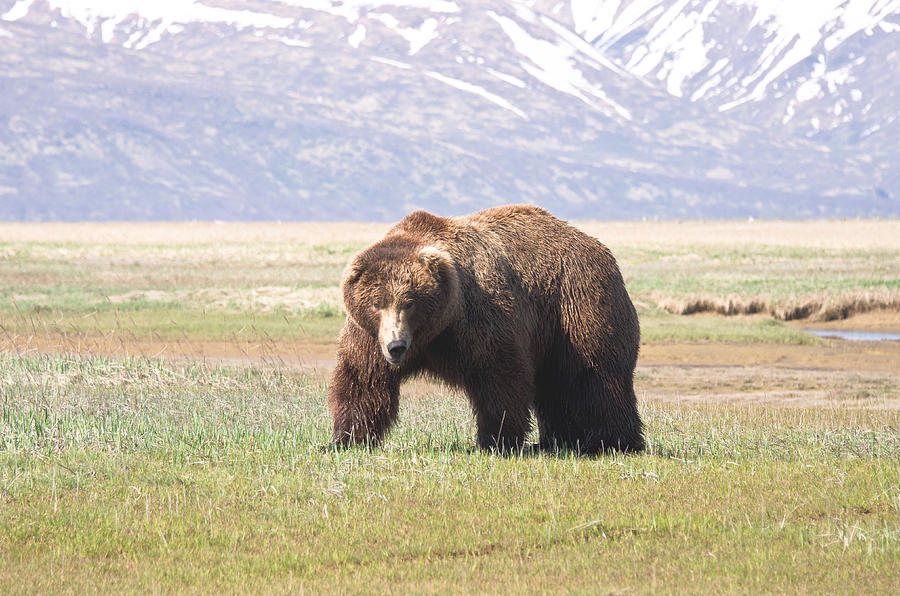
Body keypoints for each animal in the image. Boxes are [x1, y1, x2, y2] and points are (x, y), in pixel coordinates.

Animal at [326, 205, 644, 452]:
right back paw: (559, 440)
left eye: (410, 302)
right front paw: (344, 440)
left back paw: (612, 441)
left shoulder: (478, 317)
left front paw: (496, 441)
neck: (435, 331)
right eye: (376, 303)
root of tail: (600, 249)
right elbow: (363, 379)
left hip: (577, 305)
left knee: (594, 377)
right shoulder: (370, 336)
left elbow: (499, 376)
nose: (396, 346)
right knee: (555, 387)